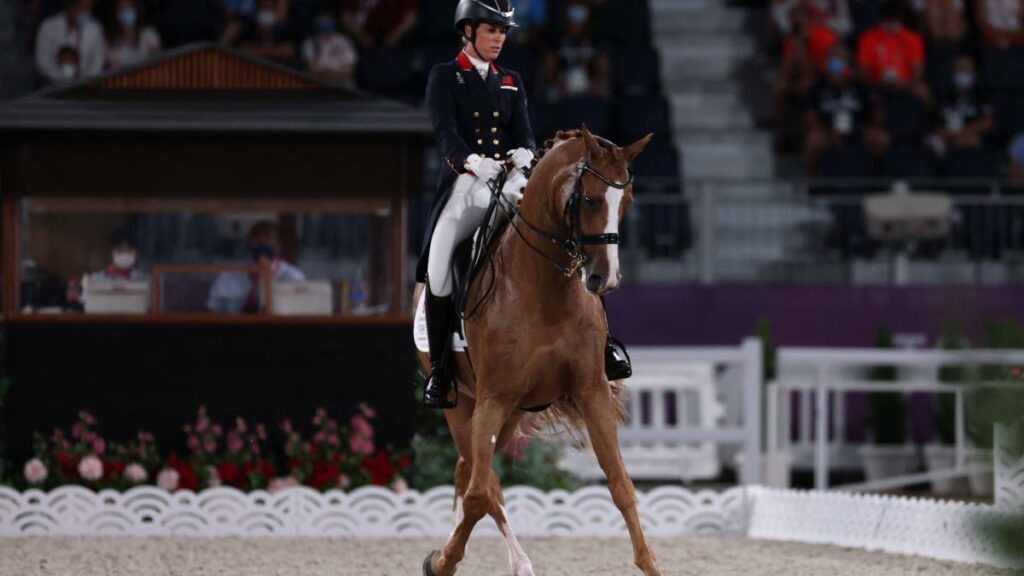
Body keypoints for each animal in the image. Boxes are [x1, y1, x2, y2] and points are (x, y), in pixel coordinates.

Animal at [413, 126, 659, 573]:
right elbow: (480, 495)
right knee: (481, 481)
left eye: (627, 201)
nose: (606, 279)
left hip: (509, 413)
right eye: (589, 199)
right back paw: (507, 560)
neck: (545, 290)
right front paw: (442, 561)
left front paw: (650, 563)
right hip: (464, 404)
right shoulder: (492, 399)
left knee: (467, 470)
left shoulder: (591, 390)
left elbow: (620, 483)